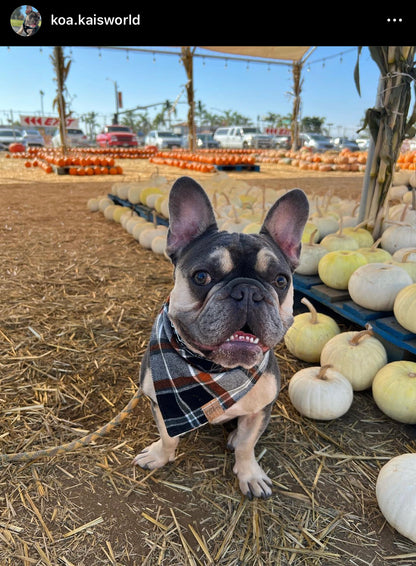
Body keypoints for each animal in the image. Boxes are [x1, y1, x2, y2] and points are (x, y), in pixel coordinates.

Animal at [133, 178, 308, 502]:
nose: (248, 291)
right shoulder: (159, 404)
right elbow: (167, 437)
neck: (215, 373)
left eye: (280, 280)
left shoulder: (261, 410)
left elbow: (247, 445)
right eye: (201, 277)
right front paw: (160, 456)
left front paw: (249, 474)